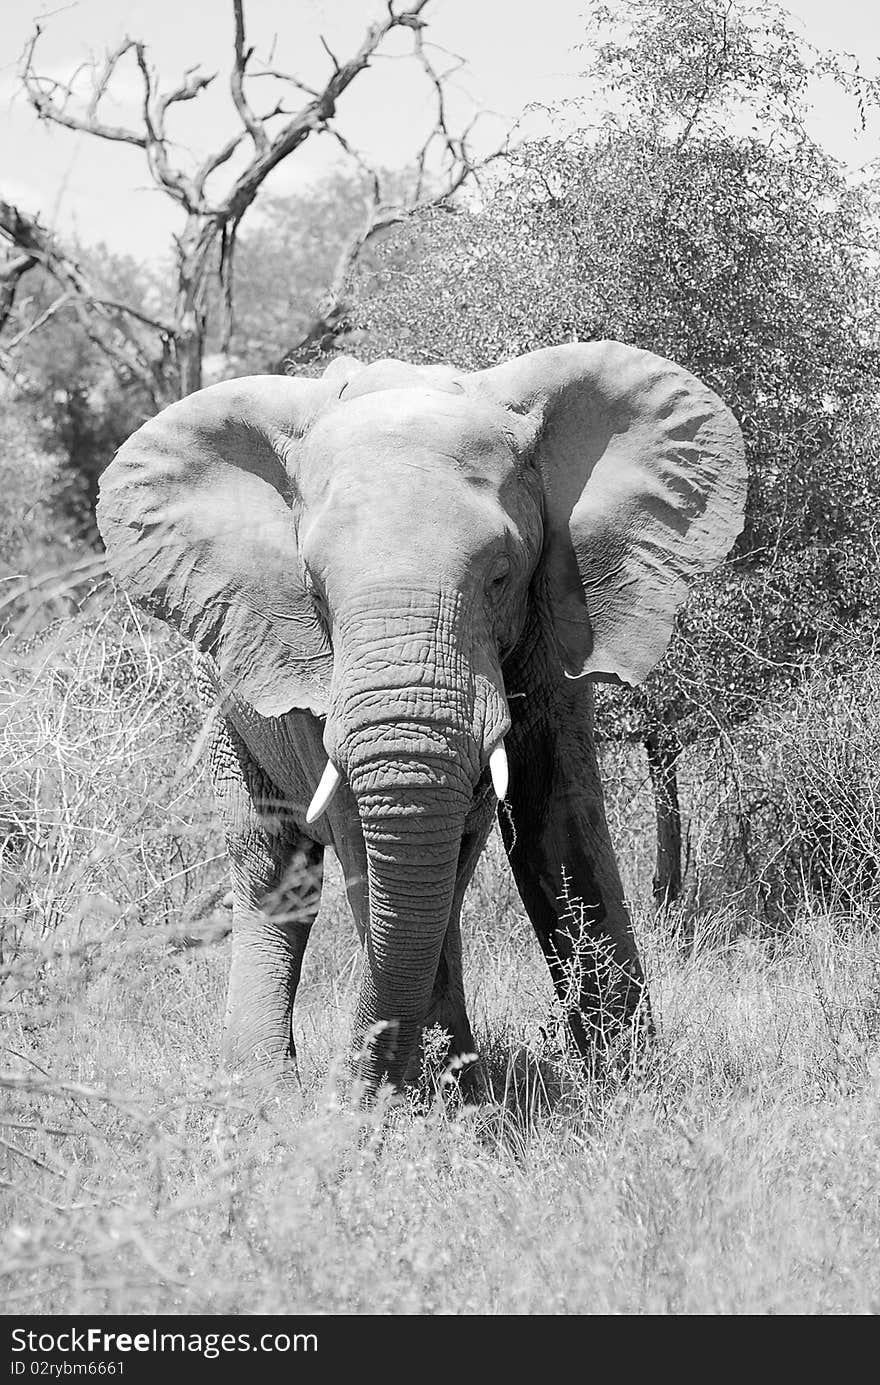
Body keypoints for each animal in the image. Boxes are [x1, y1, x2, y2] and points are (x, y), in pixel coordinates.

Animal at [94, 343, 742, 1091]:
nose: (342, 1093)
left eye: (500, 576)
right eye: (314, 591)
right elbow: (360, 838)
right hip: (228, 693)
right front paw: (417, 1101)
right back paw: (265, 1084)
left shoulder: (554, 617)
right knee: (270, 862)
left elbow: (555, 817)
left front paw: (627, 1084)